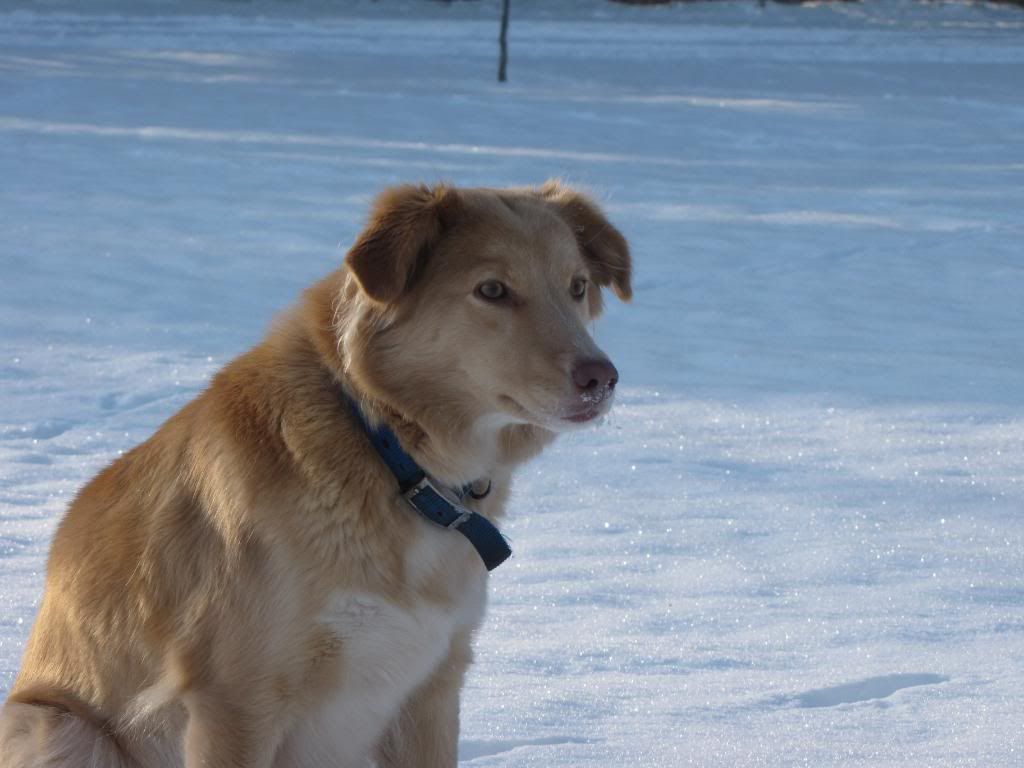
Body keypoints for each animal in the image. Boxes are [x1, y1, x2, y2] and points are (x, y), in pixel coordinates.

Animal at [0, 182, 630, 768]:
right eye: (492, 290)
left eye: (576, 286)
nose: (602, 378)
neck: (393, 455)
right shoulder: (235, 701)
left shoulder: (430, 686)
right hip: (61, 727)